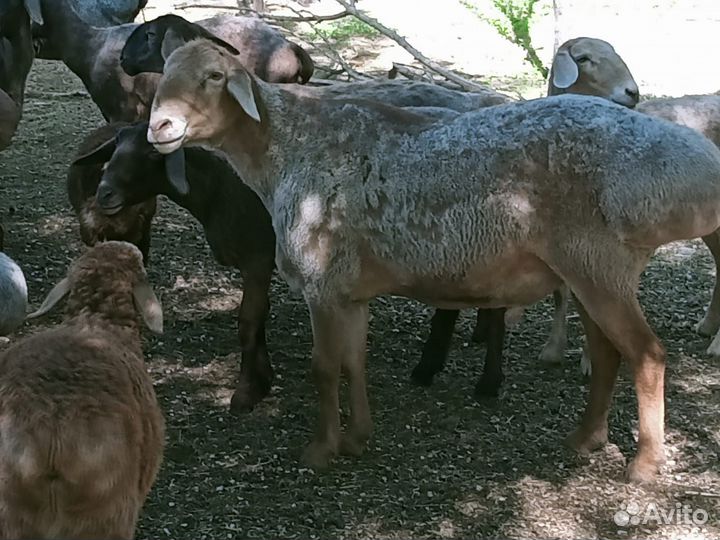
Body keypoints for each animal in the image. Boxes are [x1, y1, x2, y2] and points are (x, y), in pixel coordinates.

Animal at [146, 40, 720, 482]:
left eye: (214, 76)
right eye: (164, 73)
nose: (160, 126)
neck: (285, 150)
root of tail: (697, 174)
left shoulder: (323, 281)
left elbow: (324, 369)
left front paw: (320, 451)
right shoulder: (350, 290)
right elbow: (354, 362)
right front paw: (359, 437)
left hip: (600, 263)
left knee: (647, 355)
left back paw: (644, 464)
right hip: (591, 271)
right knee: (606, 353)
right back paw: (586, 439)